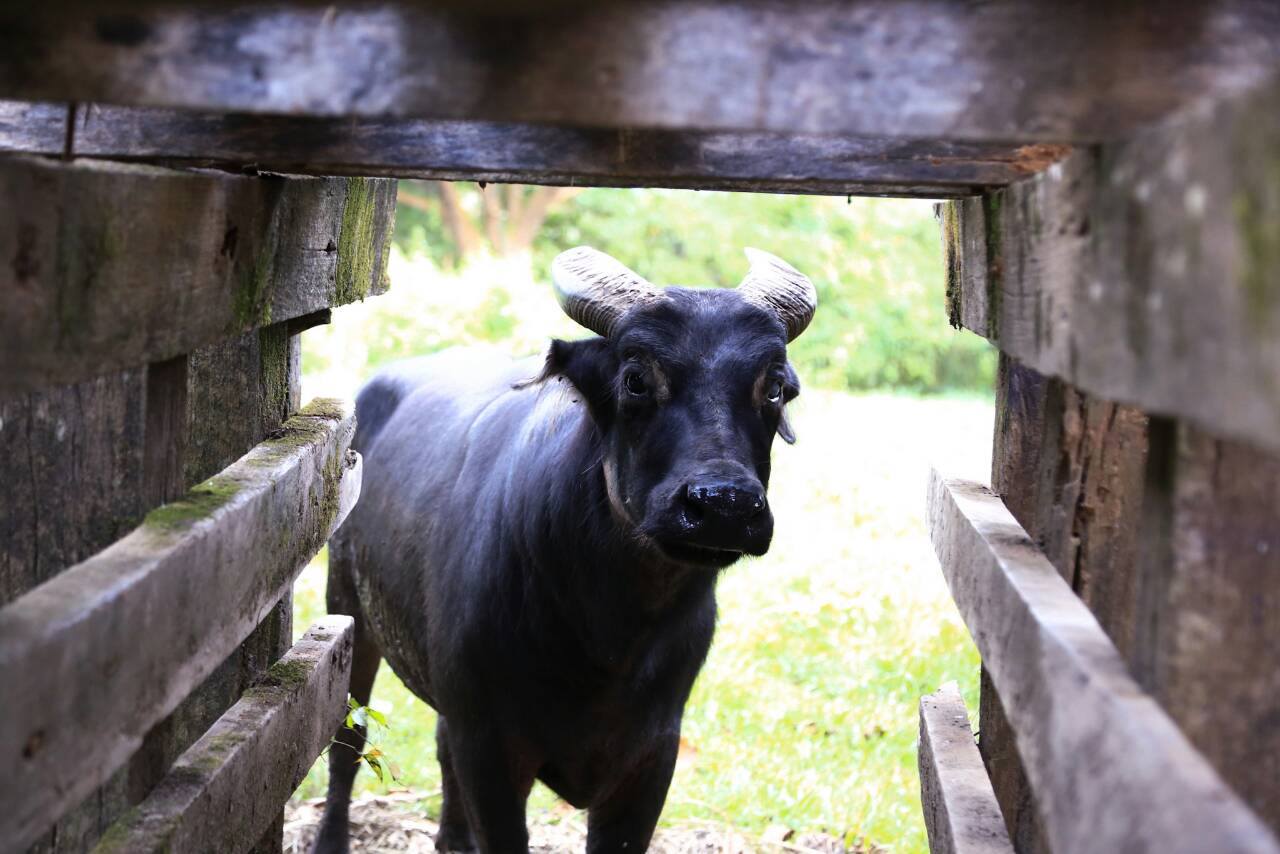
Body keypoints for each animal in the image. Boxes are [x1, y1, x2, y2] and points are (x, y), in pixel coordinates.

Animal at [307, 247, 819, 854]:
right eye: (636, 379)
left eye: (774, 387)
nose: (724, 505)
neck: (607, 637)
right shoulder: (491, 748)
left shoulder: (650, 757)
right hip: (348, 607)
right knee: (348, 742)